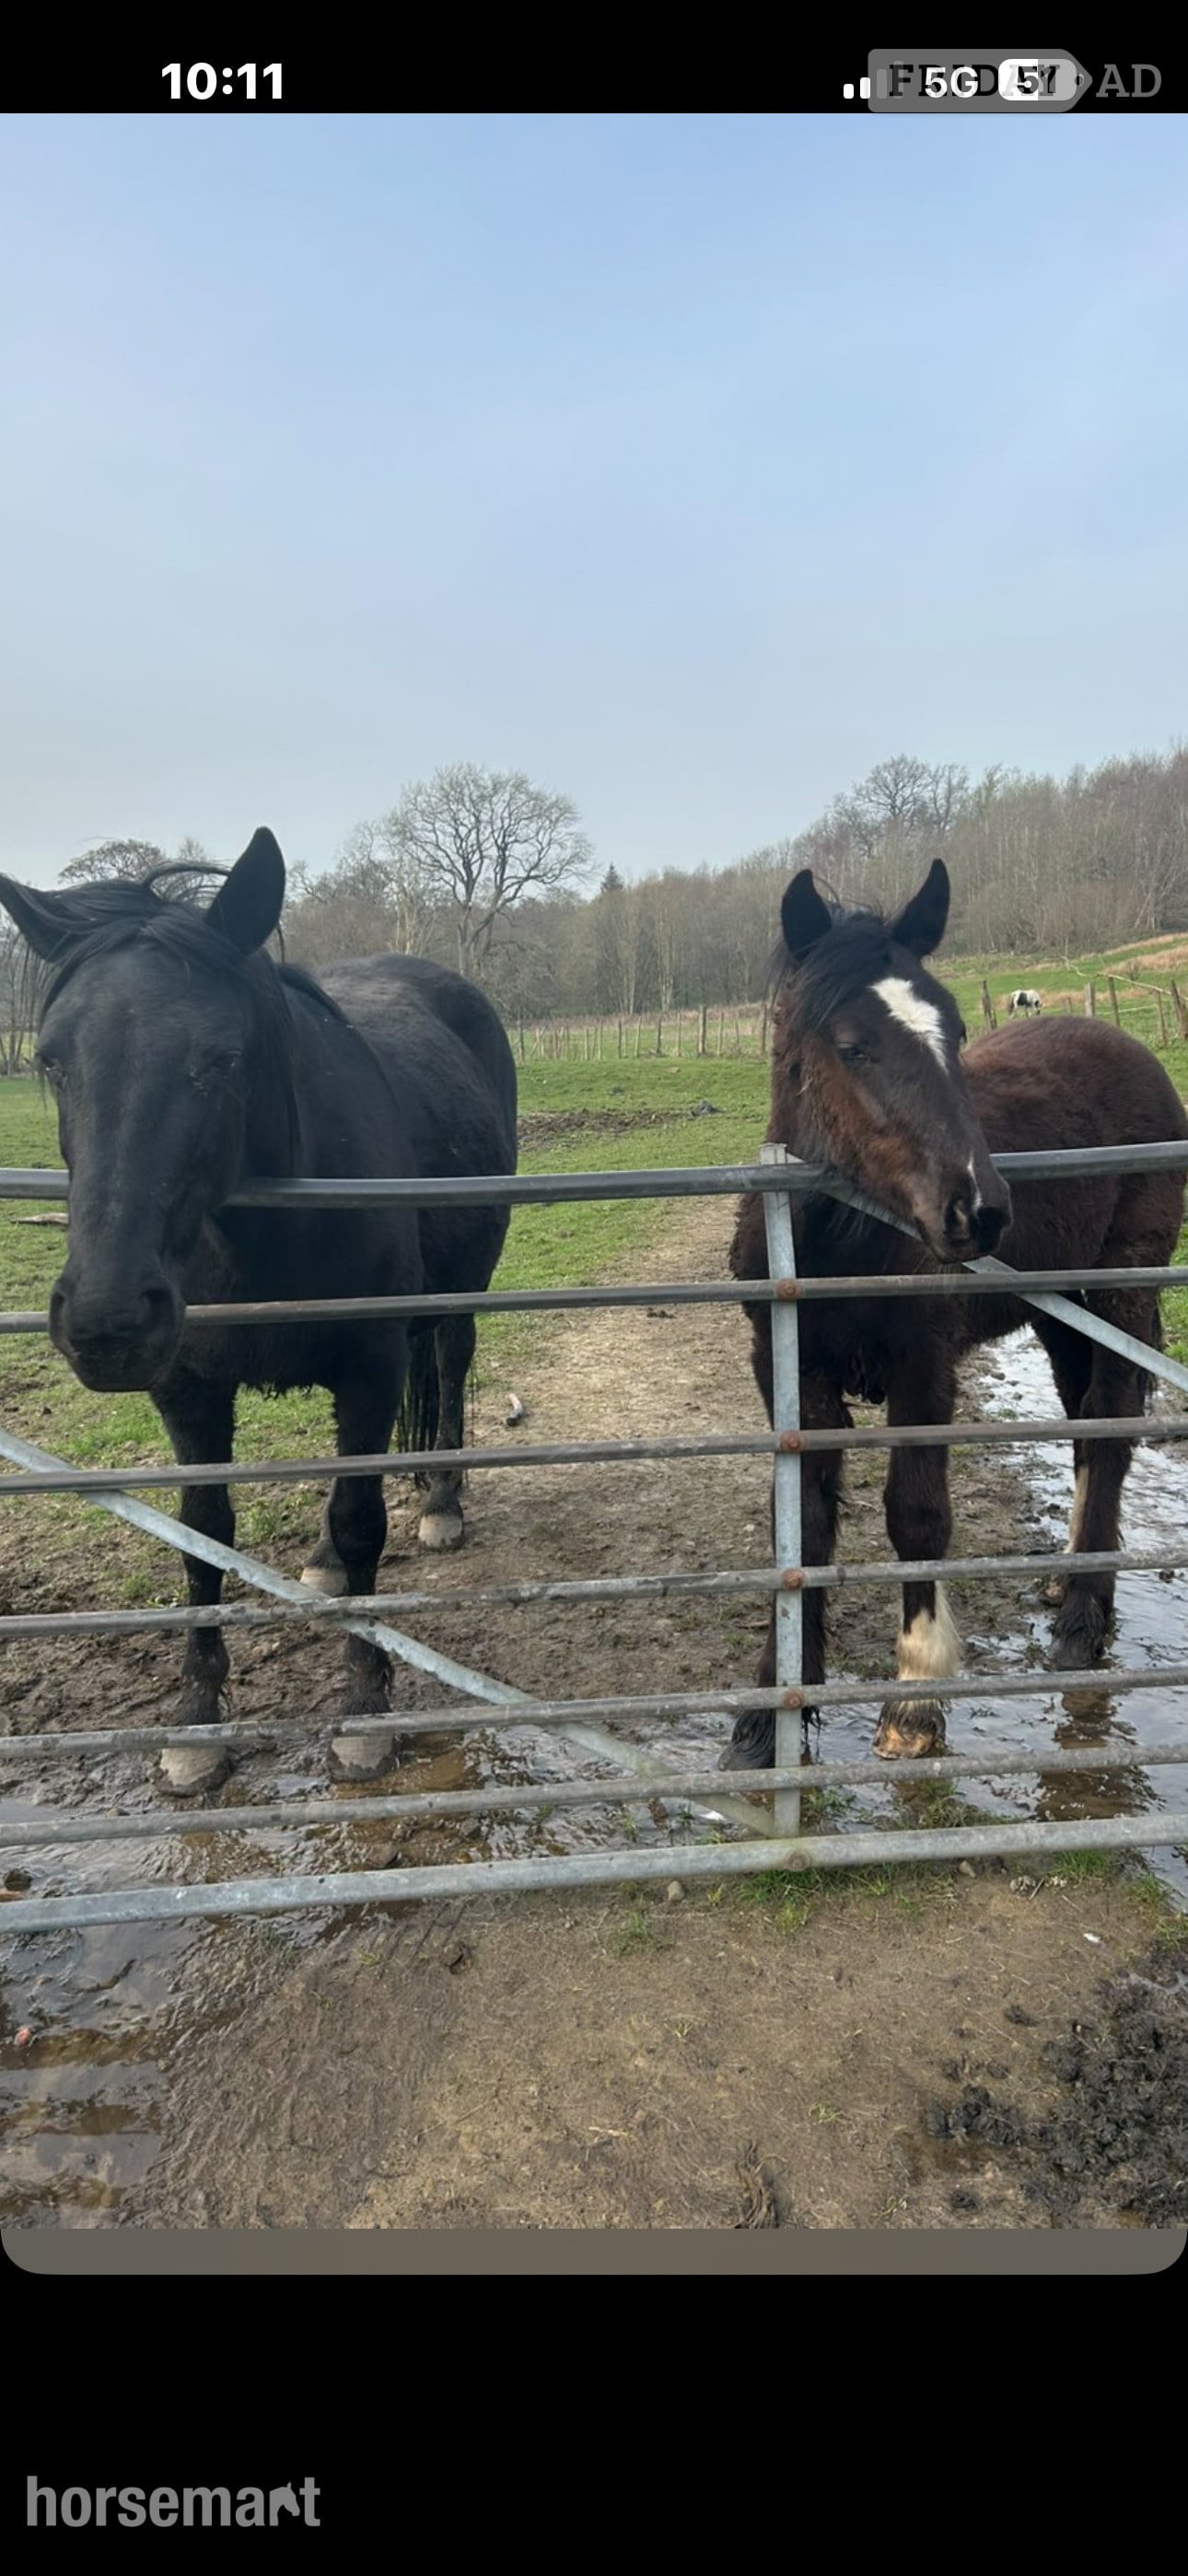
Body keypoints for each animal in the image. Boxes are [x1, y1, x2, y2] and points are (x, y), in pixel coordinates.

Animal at [0, 831, 518, 1798]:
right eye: (51, 1058)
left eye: (221, 1058)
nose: (106, 1322)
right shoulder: (189, 1389)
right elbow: (205, 1538)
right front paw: (196, 1724)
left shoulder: (370, 1366)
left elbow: (362, 1521)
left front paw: (364, 1708)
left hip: (458, 1295)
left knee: (449, 1368)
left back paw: (441, 1500)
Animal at [723, 858, 1188, 1770]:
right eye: (852, 1046)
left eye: (957, 1027)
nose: (979, 1209)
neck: (841, 1239)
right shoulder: (790, 1371)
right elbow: (802, 1527)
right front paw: (771, 1712)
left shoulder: (924, 1370)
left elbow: (917, 1514)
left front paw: (916, 1701)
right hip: (1062, 1311)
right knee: (1082, 1418)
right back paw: (1069, 1575)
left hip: (1124, 1286)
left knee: (1112, 1425)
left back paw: (1084, 1618)